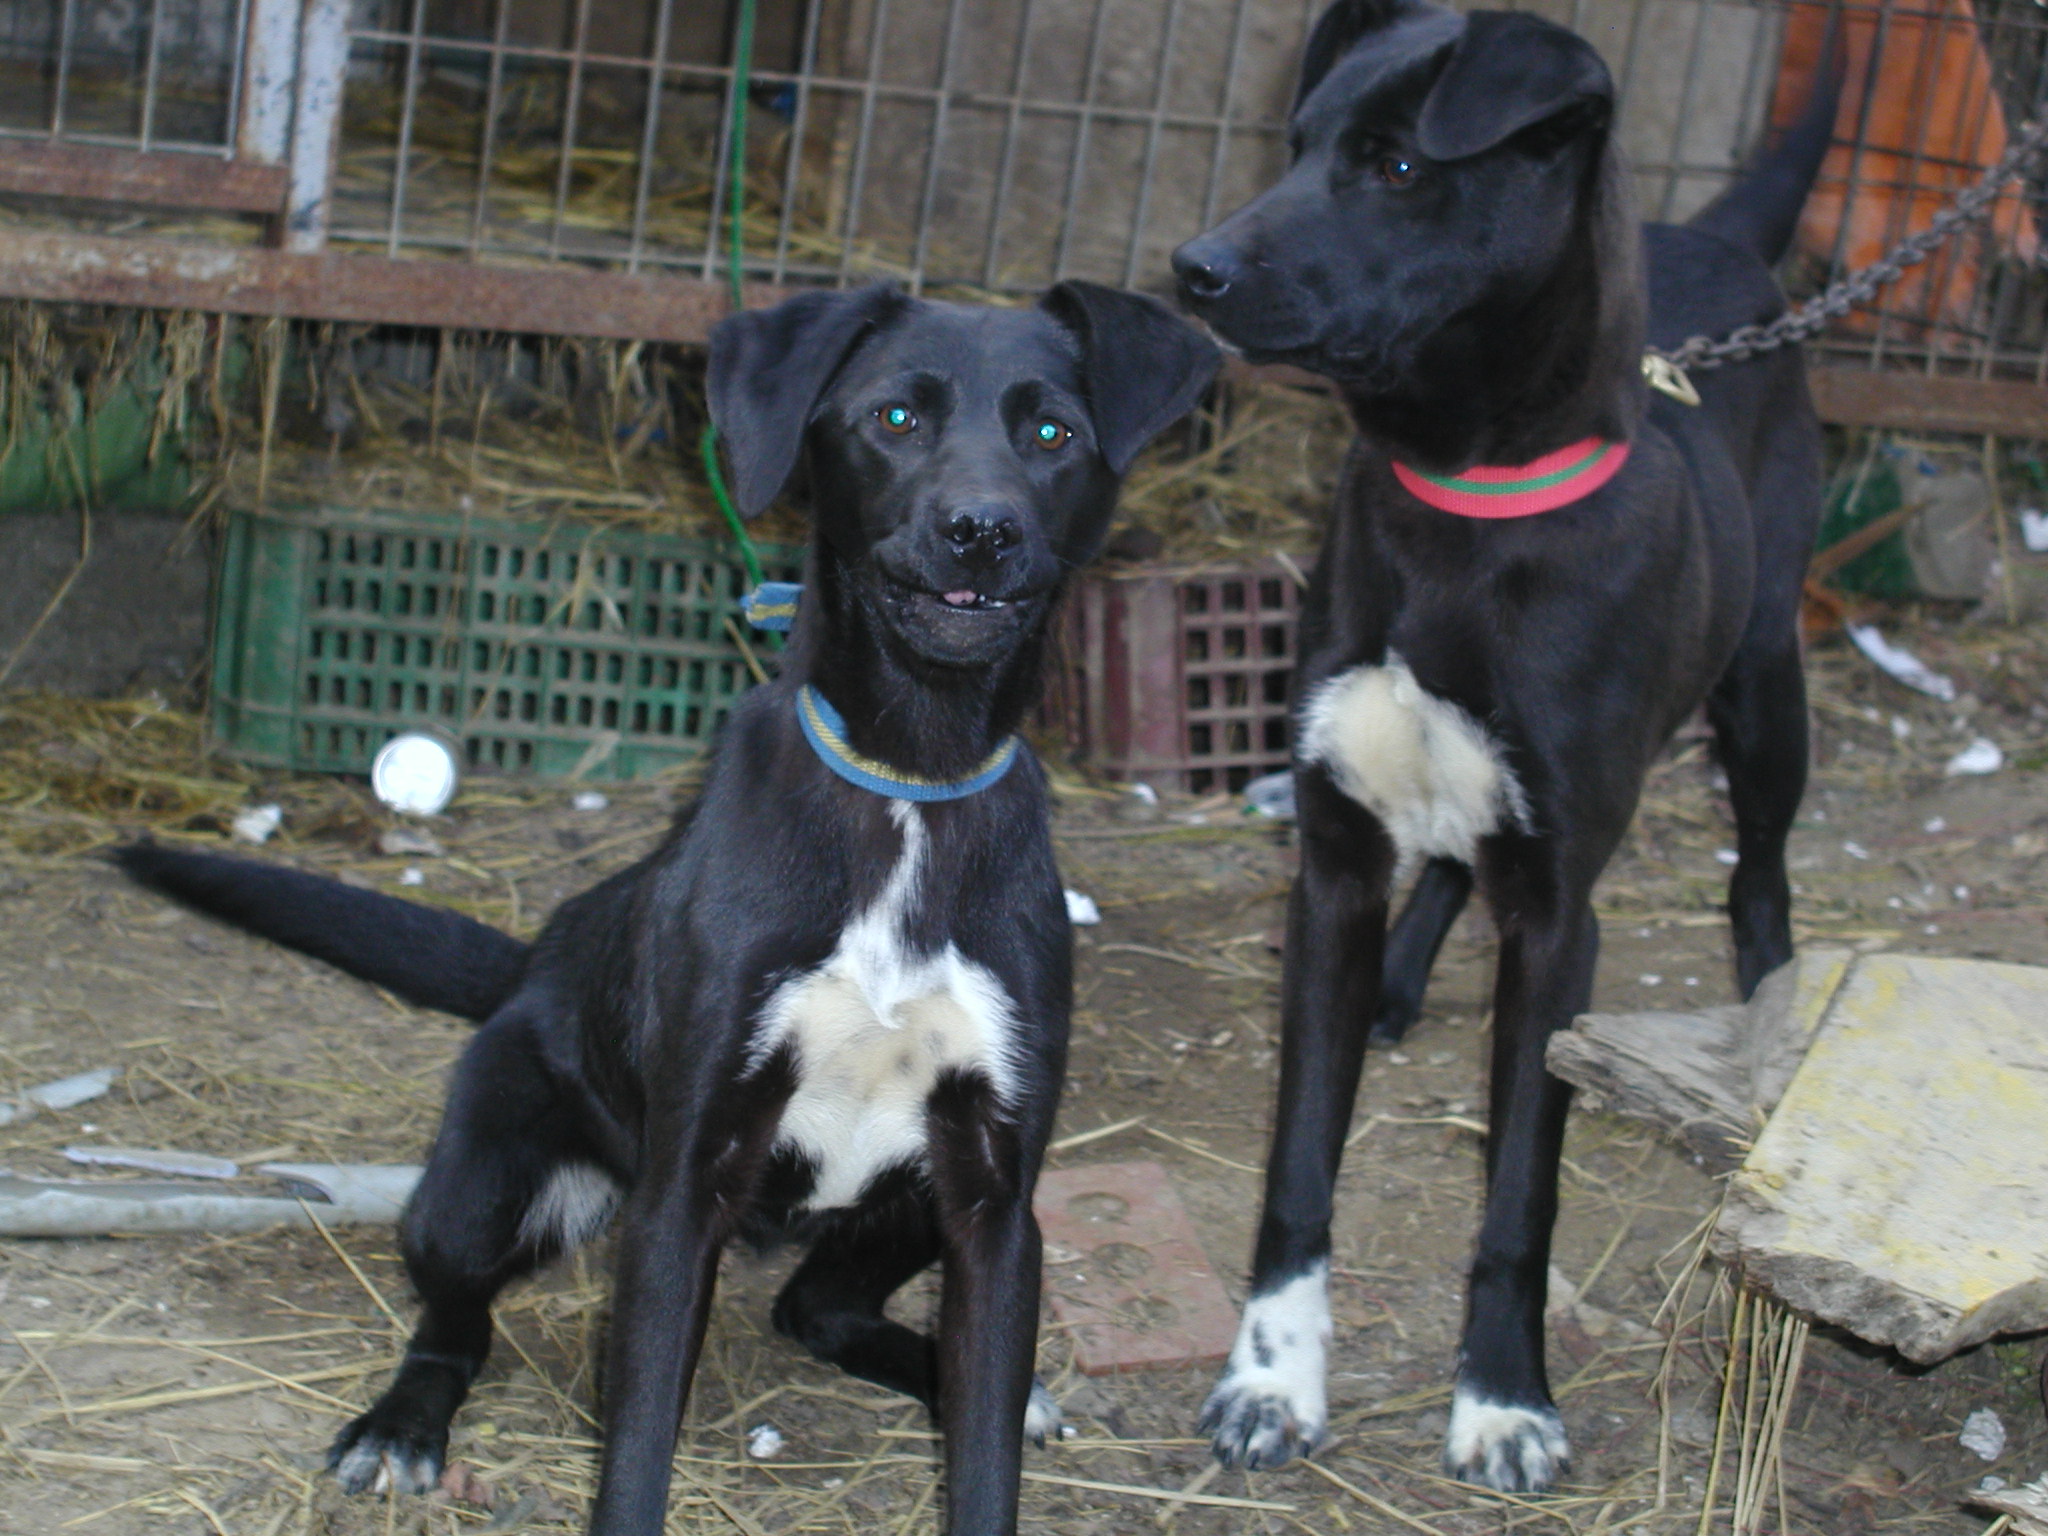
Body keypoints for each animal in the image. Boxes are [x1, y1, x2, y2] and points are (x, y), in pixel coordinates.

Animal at [119, 280, 1218, 1536]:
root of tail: (535, 958)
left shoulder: (995, 1200)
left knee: (816, 1311)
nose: (978, 529)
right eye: (893, 418)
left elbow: (983, 1466)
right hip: (478, 1182)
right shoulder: (682, 1187)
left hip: (904, 1205)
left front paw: (989, 1413)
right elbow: (637, 1448)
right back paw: (402, 1424)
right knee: (456, 1317)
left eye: (1051, 434)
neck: (909, 780)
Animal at [1169, 0, 1832, 1492]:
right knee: (1449, 857)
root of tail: (1721, 244)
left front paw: (1503, 1400)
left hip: (1765, 688)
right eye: (1296, 145)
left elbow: (1521, 1191)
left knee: (1759, 865)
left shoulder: (1558, 921)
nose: (1193, 269)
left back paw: (1764, 1000)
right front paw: (1271, 1379)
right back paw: (1405, 981)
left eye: (1399, 166)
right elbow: (1298, 1170)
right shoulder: (1332, 869)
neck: (1458, 505)